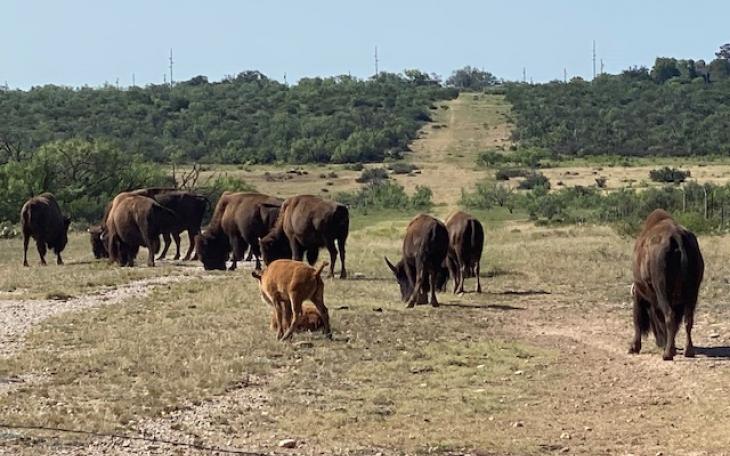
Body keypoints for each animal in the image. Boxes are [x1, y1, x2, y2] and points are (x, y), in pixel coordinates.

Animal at [629, 209, 704, 361]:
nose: (659, 342)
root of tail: (677, 236)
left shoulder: (640, 294)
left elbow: (638, 319)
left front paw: (634, 347)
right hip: (692, 293)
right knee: (688, 319)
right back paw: (688, 351)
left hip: (662, 291)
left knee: (669, 316)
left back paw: (667, 353)